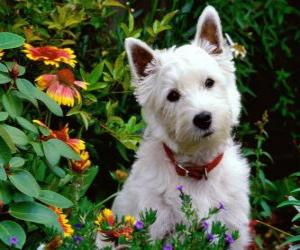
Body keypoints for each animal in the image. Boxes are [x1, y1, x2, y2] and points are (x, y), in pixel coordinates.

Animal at [97, 4, 250, 249]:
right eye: (173, 95)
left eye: (209, 82)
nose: (203, 118)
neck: (197, 169)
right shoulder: (154, 227)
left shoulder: (234, 230)